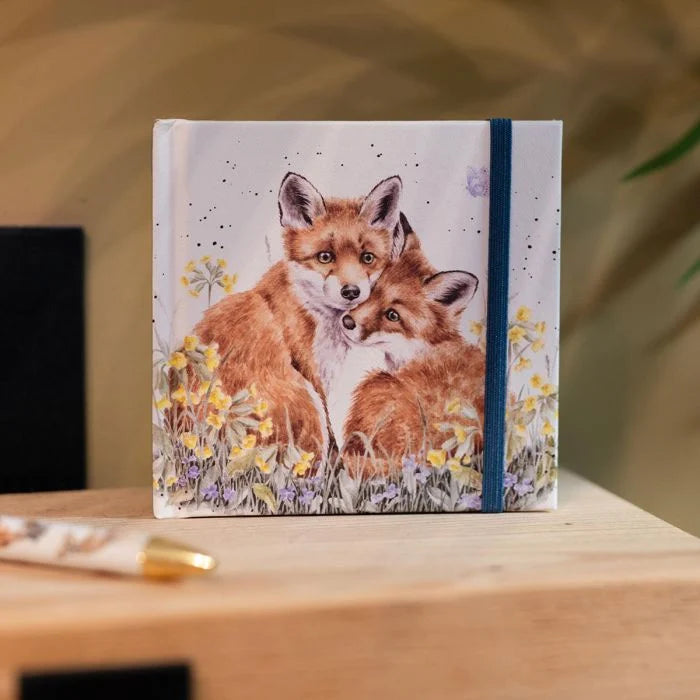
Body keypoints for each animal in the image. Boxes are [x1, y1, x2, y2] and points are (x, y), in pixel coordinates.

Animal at [192, 172, 406, 455]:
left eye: (367, 258)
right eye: (325, 257)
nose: (351, 291)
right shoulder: (312, 372)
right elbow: (332, 436)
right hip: (304, 400)